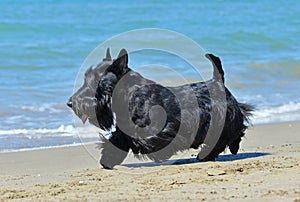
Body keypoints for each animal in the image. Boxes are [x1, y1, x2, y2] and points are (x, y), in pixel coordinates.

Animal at [67, 49, 253, 169]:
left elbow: (139, 140)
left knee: (233, 132)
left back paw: (211, 153)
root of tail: (218, 81)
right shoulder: (123, 130)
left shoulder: (157, 130)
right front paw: (107, 159)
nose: (70, 103)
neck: (128, 95)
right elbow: (118, 140)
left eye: (95, 81)